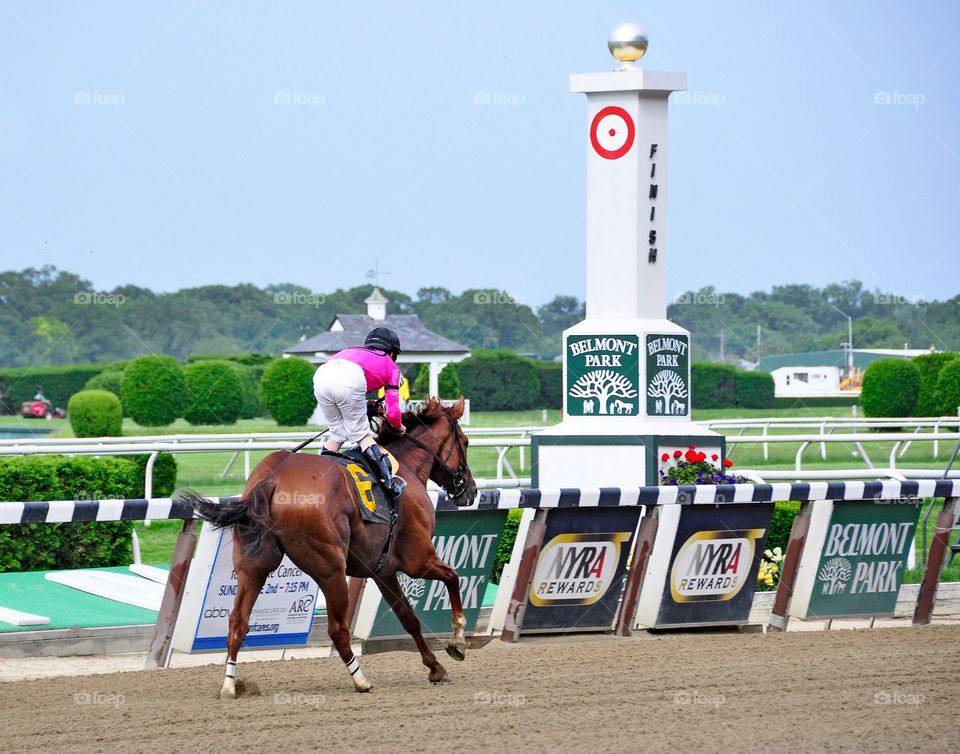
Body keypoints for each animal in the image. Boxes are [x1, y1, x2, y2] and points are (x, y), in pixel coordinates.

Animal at [185, 396, 476, 696]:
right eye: (465, 442)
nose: (471, 490)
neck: (404, 466)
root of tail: (271, 479)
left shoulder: (382, 570)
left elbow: (409, 617)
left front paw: (435, 667)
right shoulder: (417, 559)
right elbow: (453, 577)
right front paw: (457, 642)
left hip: (252, 567)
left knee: (237, 622)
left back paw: (230, 684)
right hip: (331, 569)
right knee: (337, 629)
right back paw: (361, 680)